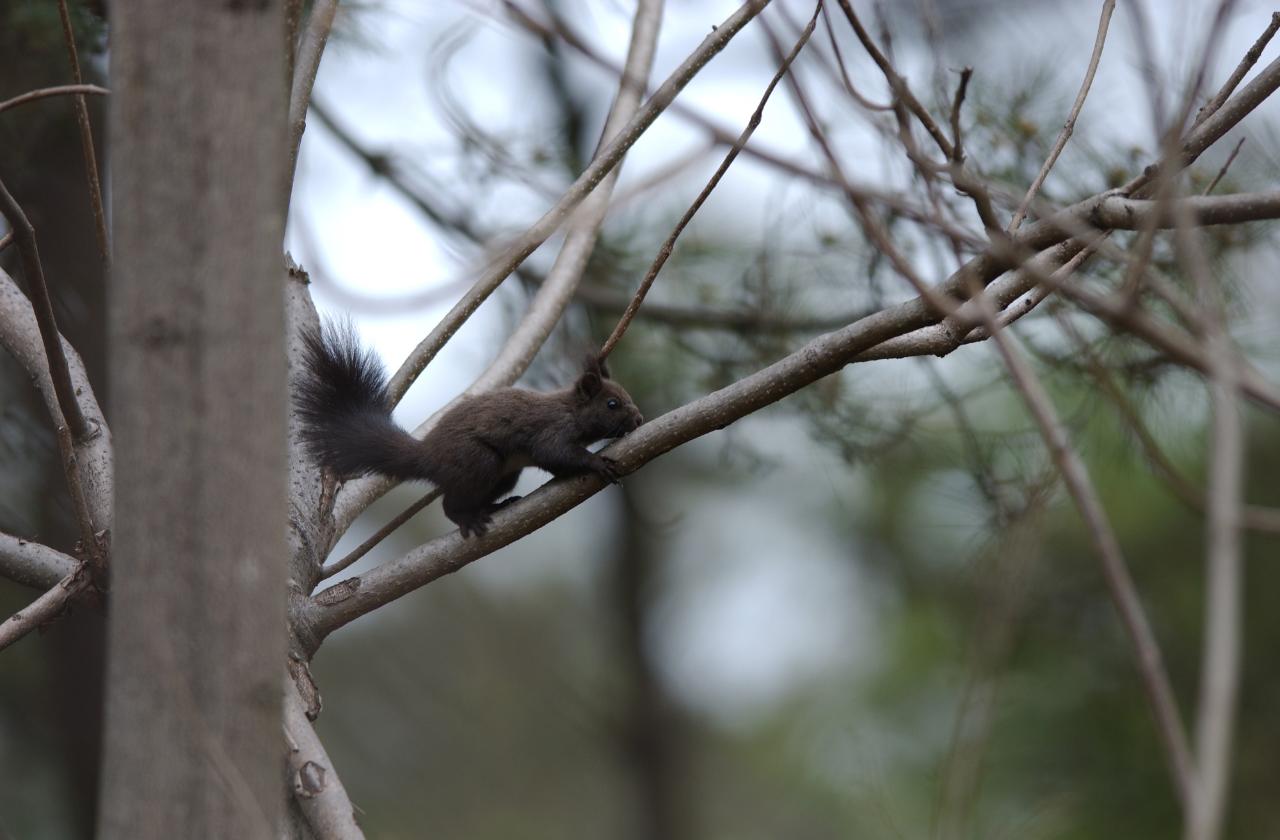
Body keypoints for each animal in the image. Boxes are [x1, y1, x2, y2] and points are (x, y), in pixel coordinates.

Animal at [294, 321, 645, 537]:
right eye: (612, 404)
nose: (639, 420)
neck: (571, 410)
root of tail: (427, 455)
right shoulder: (552, 429)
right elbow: (556, 452)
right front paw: (596, 462)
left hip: (504, 475)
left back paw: (494, 505)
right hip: (478, 460)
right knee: (449, 504)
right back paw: (469, 518)